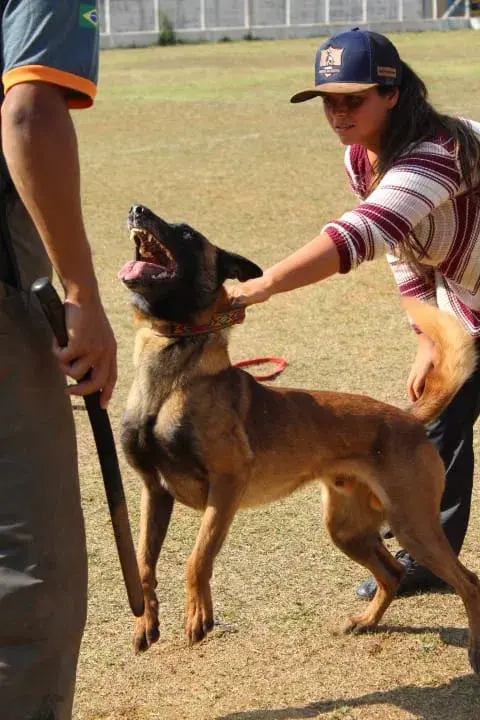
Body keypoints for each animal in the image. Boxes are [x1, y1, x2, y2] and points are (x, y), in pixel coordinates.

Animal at [118, 205, 480, 672]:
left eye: (186, 234)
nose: (136, 209)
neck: (171, 371)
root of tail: (406, 416)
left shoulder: (228, 482)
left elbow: (197, 557)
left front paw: (197, 614)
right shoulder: (154, 490)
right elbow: (143, 563)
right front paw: (145, 621)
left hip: (412, 524)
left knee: (468, 581)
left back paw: (473, 649)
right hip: (346, 529)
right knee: (393, 574)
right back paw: (365, 621)